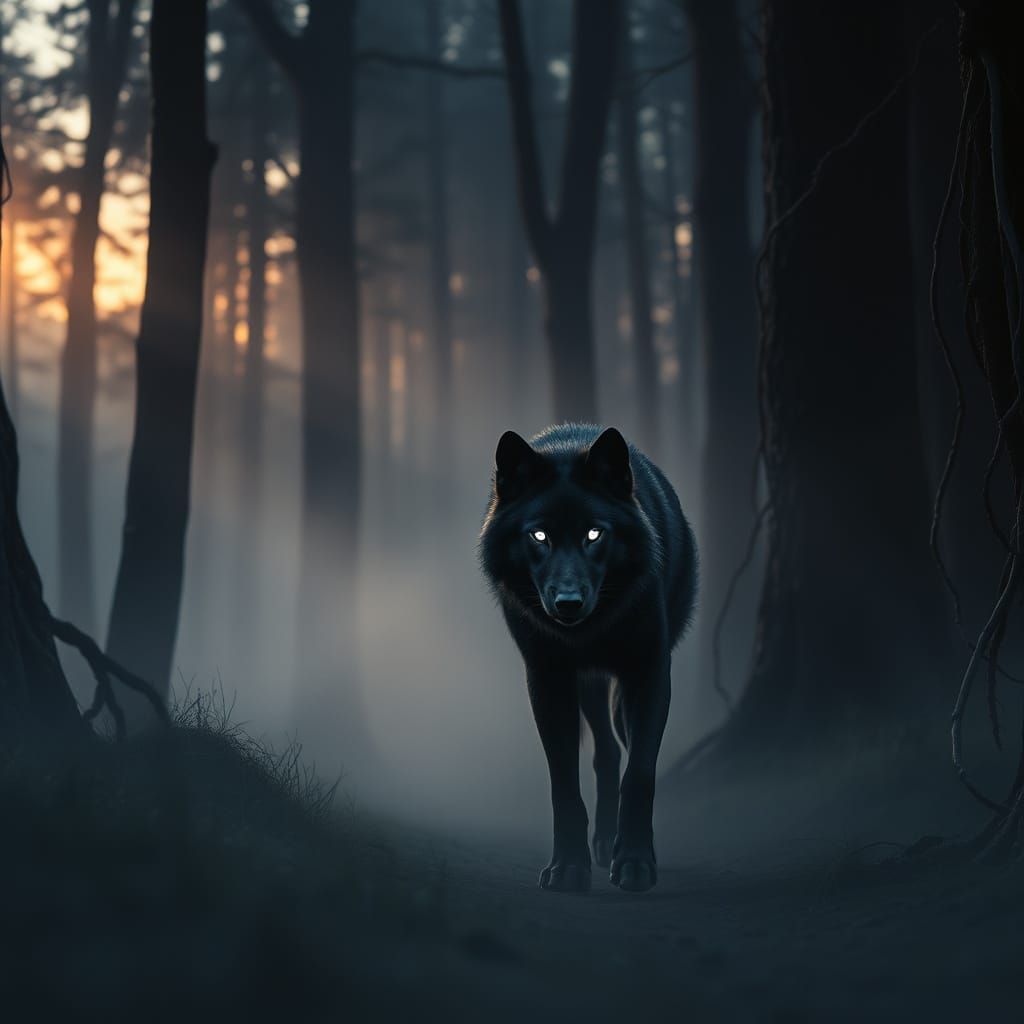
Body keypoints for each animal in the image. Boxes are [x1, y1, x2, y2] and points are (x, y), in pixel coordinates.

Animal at [479, 423, 697, 893]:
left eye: (594, 534)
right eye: (539, 536)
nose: (568, 603)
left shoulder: (649, 673)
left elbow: (641, 774)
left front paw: (634, 862)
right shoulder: (548, 680)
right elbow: (564, 783)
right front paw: (568, 868)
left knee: (619, 749)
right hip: (588, 687)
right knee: (606, 752)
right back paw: (600, 843)